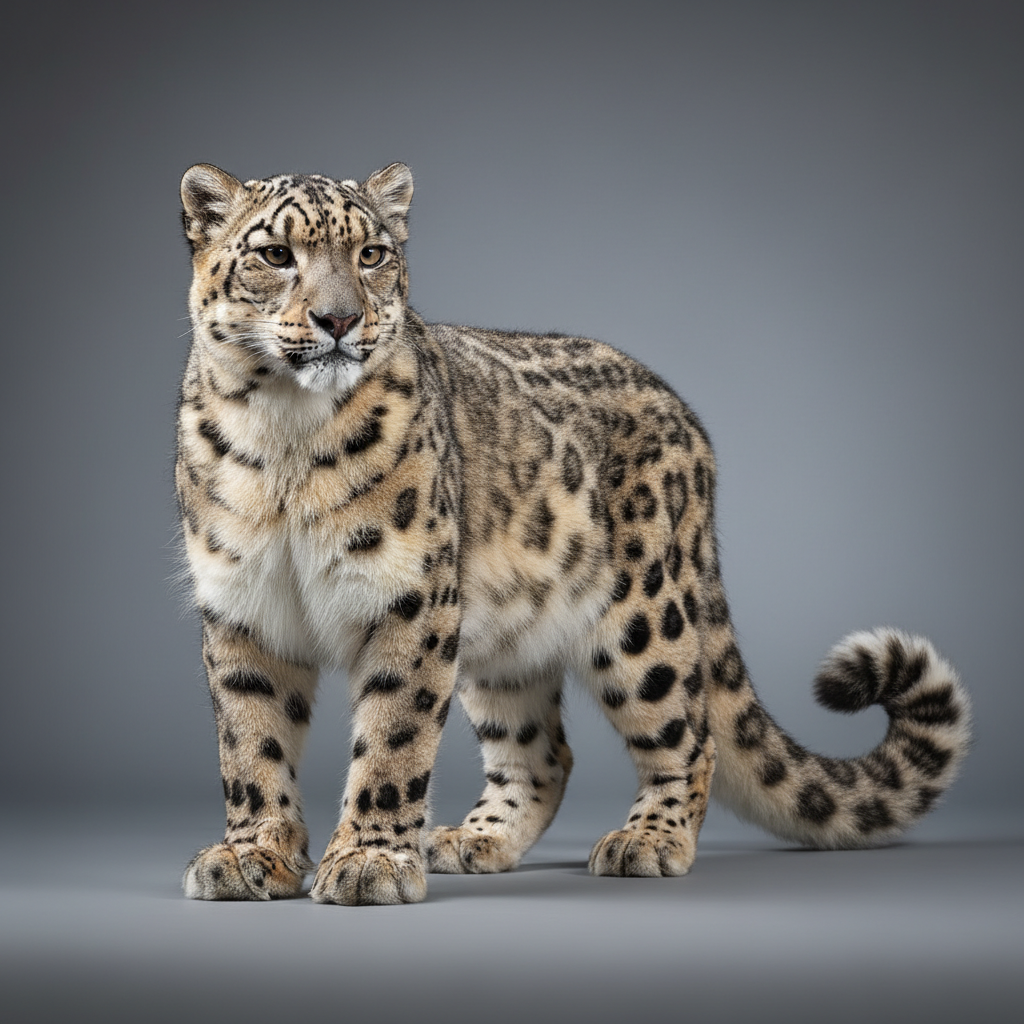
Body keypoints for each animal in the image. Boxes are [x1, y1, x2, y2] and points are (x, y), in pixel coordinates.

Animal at [176, 160, 971, 906]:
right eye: (276, 254)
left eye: (371, 253)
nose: (339, 319)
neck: (285, 433)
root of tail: (687, 420)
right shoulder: (242, 604)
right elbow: (251, 742)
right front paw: (250, 856)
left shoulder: (409, 599)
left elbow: (394, 737)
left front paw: (369, 861)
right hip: (500, 642)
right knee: (542, 751)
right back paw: (474, 838)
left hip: (647, 622)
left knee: (690, 735)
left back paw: (647, 840)